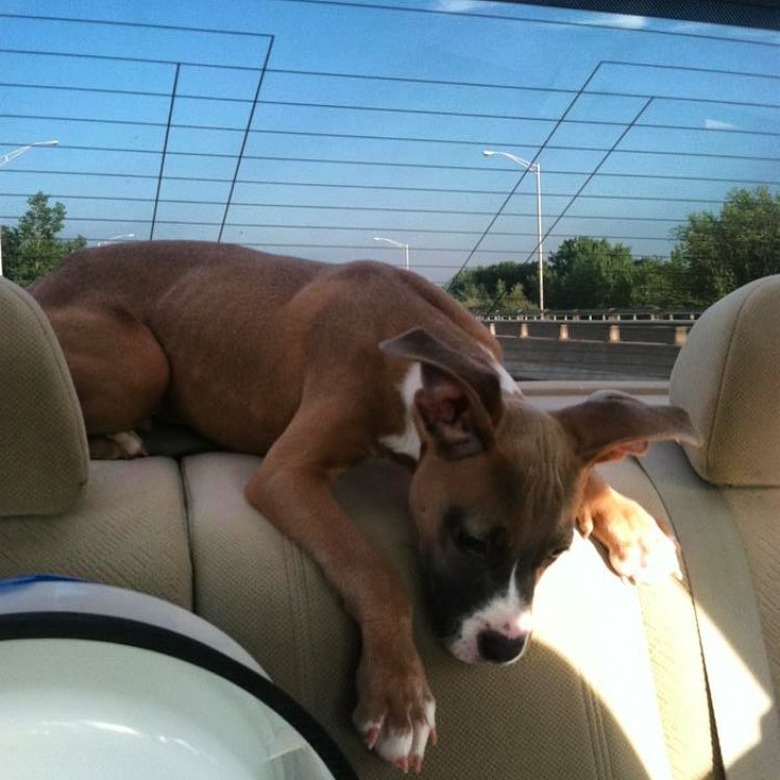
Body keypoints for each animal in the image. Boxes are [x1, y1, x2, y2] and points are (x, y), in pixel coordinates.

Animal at [32, 242, 700, 772]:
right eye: (472, 541)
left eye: (557, 554)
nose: (504, 648)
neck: (420, 357)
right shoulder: (286, 475)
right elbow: (373, 570)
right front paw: (399, 697)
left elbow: (584, 459)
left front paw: (632, 523)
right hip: (142, 362)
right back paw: (119, 440)